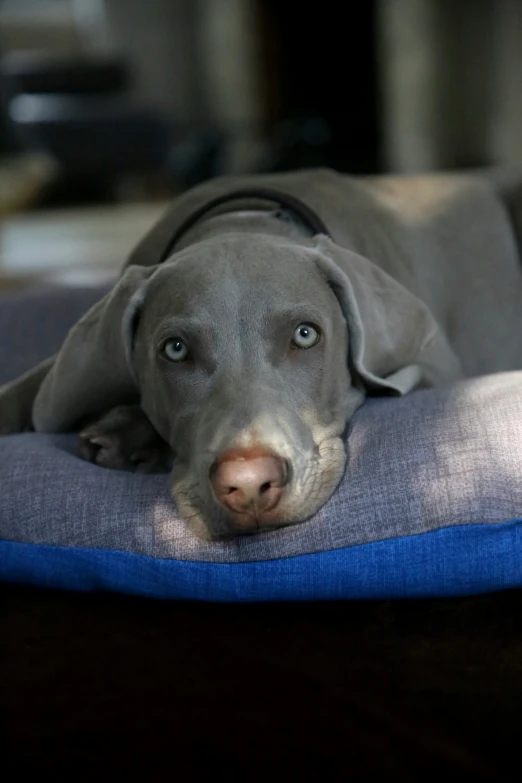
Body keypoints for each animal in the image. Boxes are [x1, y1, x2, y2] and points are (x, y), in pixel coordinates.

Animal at [1, 169, 520, 544]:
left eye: (305, 335)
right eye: (175, 349)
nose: (249, 485)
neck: (243, 220)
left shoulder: (434, 366)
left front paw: (125, 431)